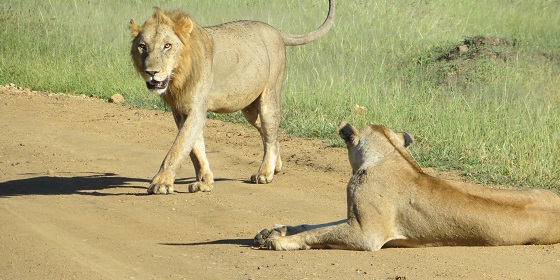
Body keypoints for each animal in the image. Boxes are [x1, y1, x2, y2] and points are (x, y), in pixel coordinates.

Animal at [129, 1, 334, 194]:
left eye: (167, 46)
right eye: (142, 46)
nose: (151, 72)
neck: (177, 75)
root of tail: (275, 30)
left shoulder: (196, 110)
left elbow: (178, 147)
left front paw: (161, 183)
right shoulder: (180, 111)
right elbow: (195, 149)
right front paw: (204, 182)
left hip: (269, 95)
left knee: (270, 132)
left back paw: (265, 172)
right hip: (249, 108)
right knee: (269, 132)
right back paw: (277, 165)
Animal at [256, 122, 560, 249]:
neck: (390, 154)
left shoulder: (367, 235)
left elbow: (319, 234)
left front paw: (279, 242)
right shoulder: (354, 220)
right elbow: (317, 226)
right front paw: (274, 230)